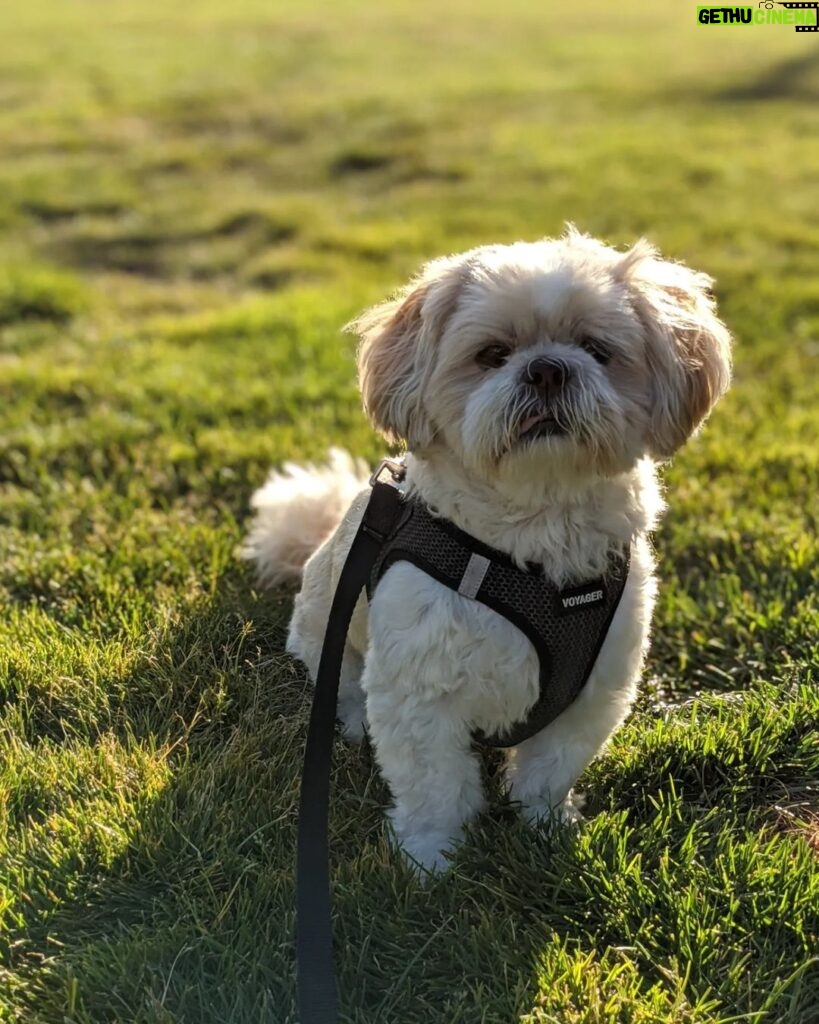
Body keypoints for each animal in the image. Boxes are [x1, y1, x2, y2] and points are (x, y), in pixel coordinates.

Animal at [241, 230, 728, 872]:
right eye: (493, 354)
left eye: (596, 350)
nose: (547, 370)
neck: (536, 538)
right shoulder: (421, 694)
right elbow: (436, 787)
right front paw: (430, 859)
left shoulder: (594, 692)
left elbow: (548, 771)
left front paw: (546, 827)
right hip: (327, 635)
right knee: (339, 686)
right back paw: (349, 723)